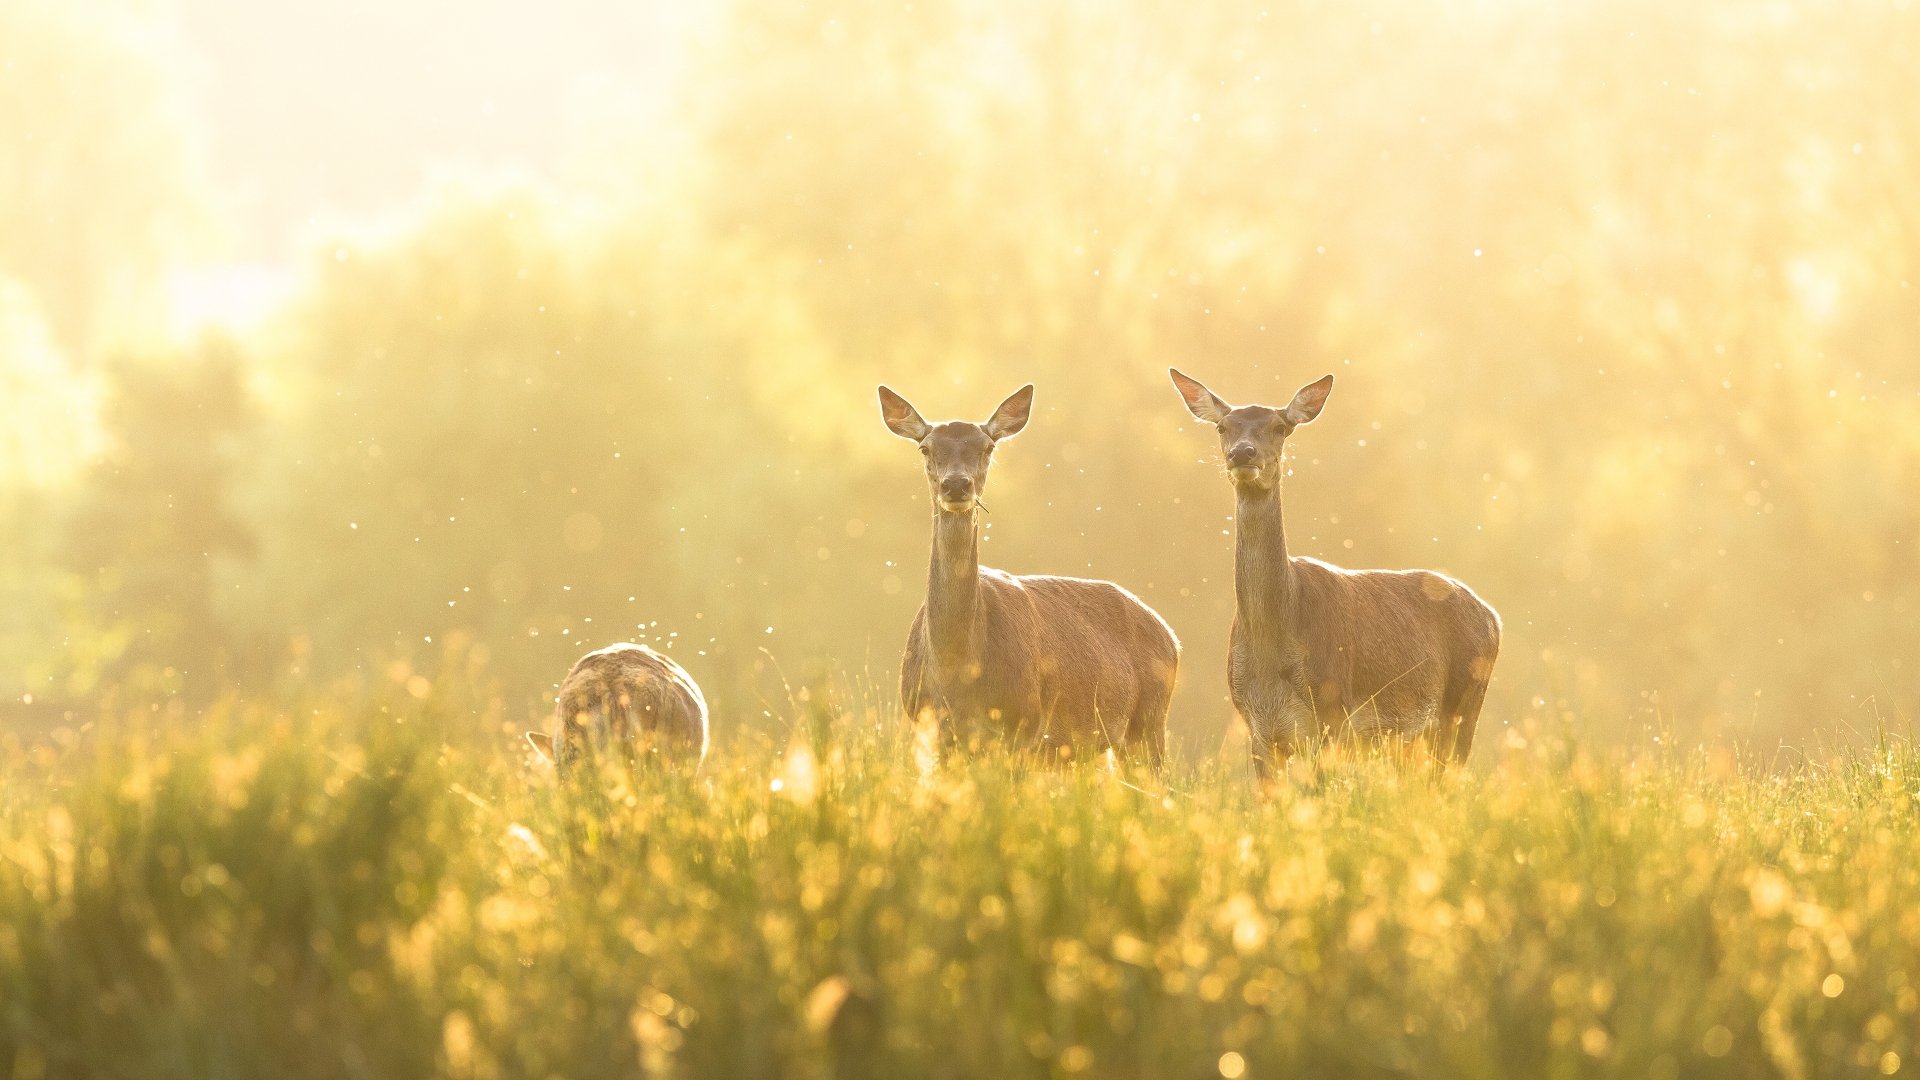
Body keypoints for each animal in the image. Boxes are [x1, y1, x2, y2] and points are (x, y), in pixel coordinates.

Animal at [879, 383, 1180, 770]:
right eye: (926, 447)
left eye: (988, 447)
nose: (957, 485)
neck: (956, 672)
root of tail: (1171, 637)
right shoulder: (931, 727)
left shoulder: (1023, 725)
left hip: (1149, 721)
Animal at [1168, 369, 1500, 780]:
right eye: (1222, 427)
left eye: (1280, 427)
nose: (1242, 452)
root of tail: (1494, 616)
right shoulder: (1258, 730)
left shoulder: (1331, 716)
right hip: (1411, 741)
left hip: (1462, 707)